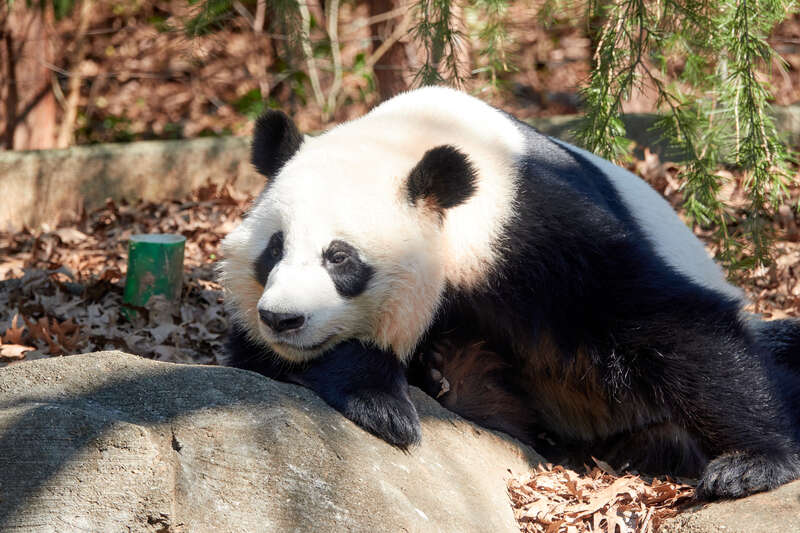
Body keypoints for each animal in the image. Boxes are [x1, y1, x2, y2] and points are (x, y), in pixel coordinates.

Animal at [219, 86, 800, 500]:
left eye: (339, 257)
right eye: (273, 249)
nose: (283, 318)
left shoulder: (529, 230)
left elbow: (666, 320)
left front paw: (754, 462)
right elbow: (259, 356)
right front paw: (382, 398)